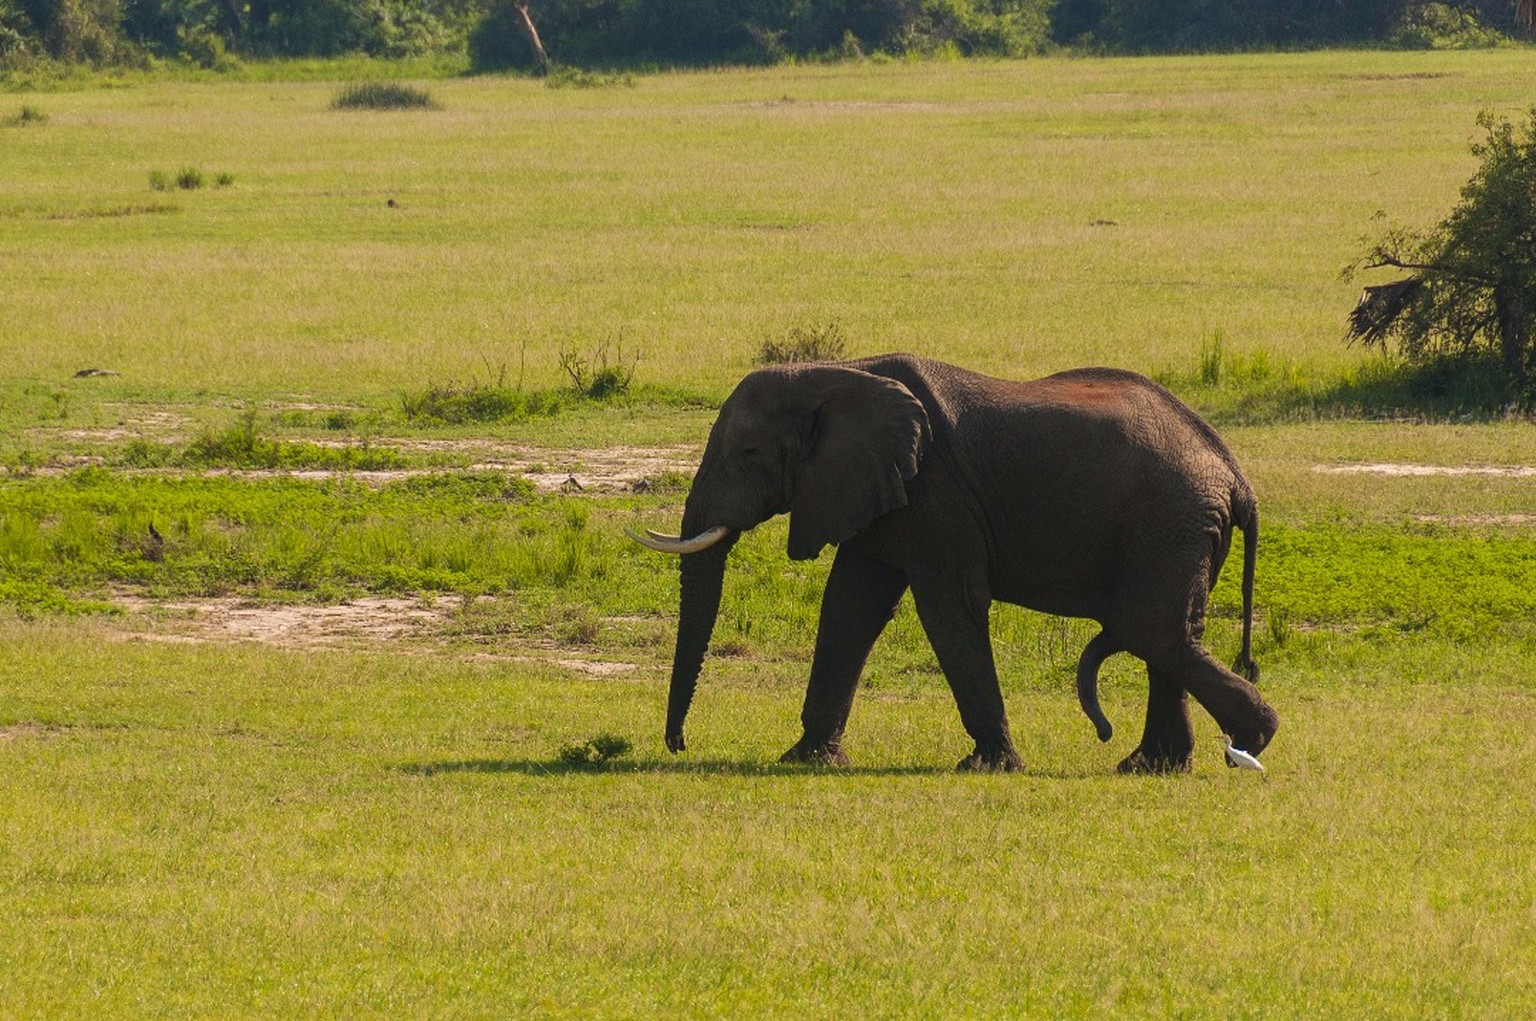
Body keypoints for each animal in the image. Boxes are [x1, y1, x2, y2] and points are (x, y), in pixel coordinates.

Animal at [629, 354, 1277, 767]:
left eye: (749, 452)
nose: (680, 745)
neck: (833, 373)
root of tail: (1235, 473)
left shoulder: (935, 496)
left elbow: (947, 608)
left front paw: (990, 764)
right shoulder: (879, 492)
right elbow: (850, 607)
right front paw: (804, 758)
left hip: (1168, 523)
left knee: (1153, 630)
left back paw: (1248, 742)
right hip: (1181, 529)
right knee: (1171, 633)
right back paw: (1152, 765)